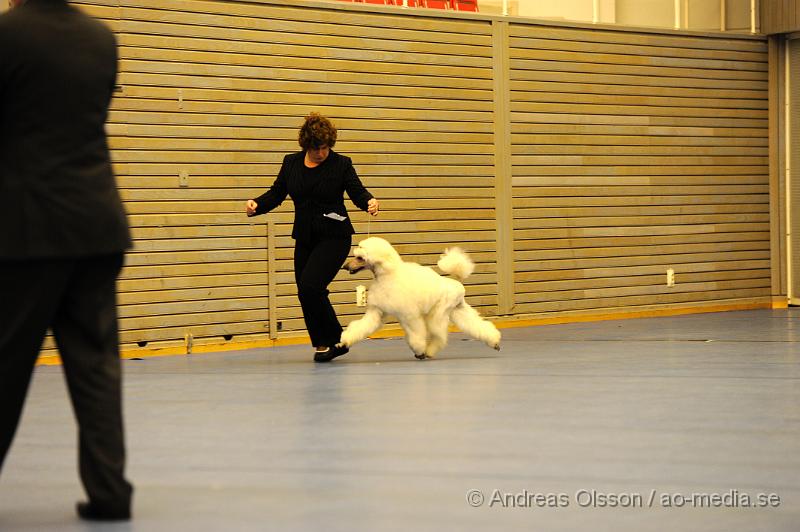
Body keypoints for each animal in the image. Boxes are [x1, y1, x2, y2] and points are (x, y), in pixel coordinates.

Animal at [338, 238, 500, 360]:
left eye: (360, 258)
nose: (345, 266)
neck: (387, 275)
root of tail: (456, 283)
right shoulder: (376, 311)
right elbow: (361, 326)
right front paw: (345, 341)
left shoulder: (408, 315)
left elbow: (415, 334)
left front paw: (419, 350)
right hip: (458, 310)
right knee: (476, 325)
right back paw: (494, 342)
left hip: (439, 313)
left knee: (439, 336)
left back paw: (428, 352)